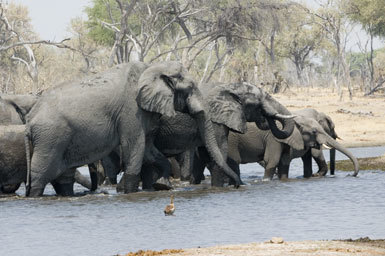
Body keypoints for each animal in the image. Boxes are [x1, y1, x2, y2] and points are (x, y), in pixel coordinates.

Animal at [22, 60, 238, 196]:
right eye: (190, 88)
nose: (237, 185)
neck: (152, 67)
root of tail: (29, 120)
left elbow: (149, 149)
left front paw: (160, 185)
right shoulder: (131, 110)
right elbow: (135, 146)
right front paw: (131, 191)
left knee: (63, 177)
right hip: (50, 138)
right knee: (40, 175)